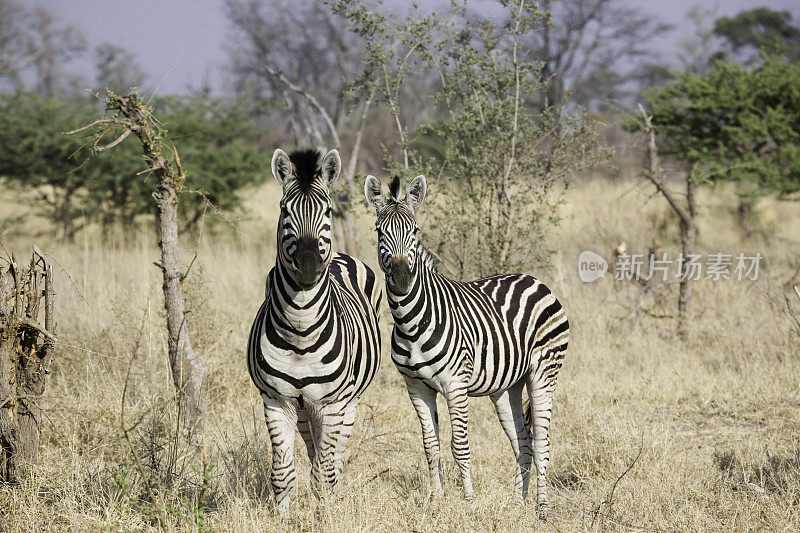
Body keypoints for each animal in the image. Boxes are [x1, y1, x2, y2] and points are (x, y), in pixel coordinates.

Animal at [247, 148, 382, 510]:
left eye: (328, 210)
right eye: (284, 210)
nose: (309, 266)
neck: (300, 331)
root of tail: (342, 255)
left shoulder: (333, 404)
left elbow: (325, 473)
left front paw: (326, 514)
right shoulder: (276, 400)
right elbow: (283, 474)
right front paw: (283, 516)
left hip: (347, 403)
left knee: (334, 457)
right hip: (305, 407)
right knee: (313, 450)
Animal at [362, 175, 568, 516]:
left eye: (415, 230)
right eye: (380, 231)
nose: (403, 279)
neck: (410, 321)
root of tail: (533, 280)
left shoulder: (455, 384)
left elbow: (459, 444)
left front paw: (469, 500)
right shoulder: (416, 387)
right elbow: (430, 445)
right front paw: (436, 501)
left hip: (544, 372)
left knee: (542, 441)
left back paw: (541, 508)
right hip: (507, 386)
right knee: (522, 439)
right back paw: (518, 502)